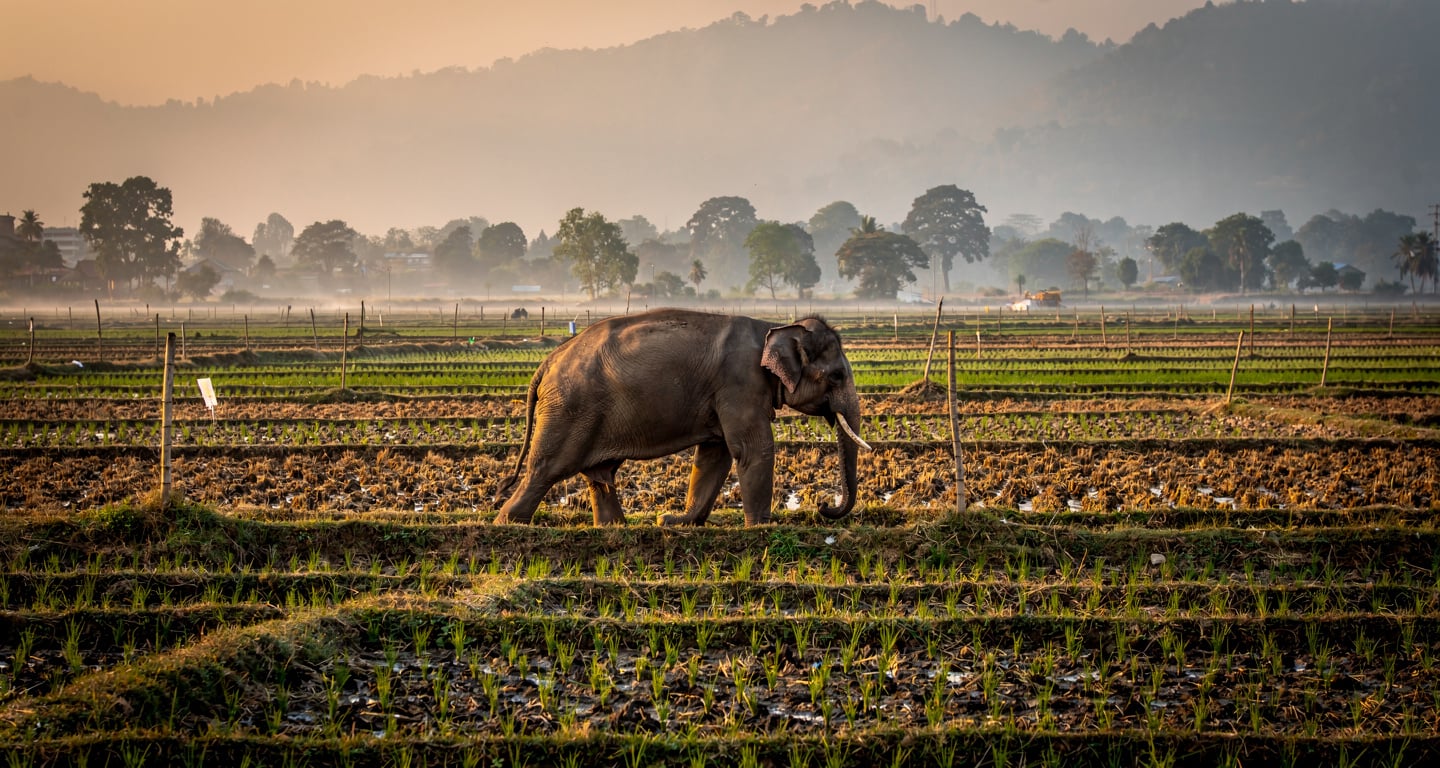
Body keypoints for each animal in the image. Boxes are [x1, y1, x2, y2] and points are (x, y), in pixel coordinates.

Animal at [494, 308, 871, 526]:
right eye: (837, 375)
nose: (823, 507)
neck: (773, 328)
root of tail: (547, 361)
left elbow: (716, 454)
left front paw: (678, 521)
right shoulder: (740, 383)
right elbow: (751, 448)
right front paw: (763, 526)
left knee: (599, 473)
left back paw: (615, 527)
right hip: (569, 409)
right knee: (548, 468)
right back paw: (507, 522)